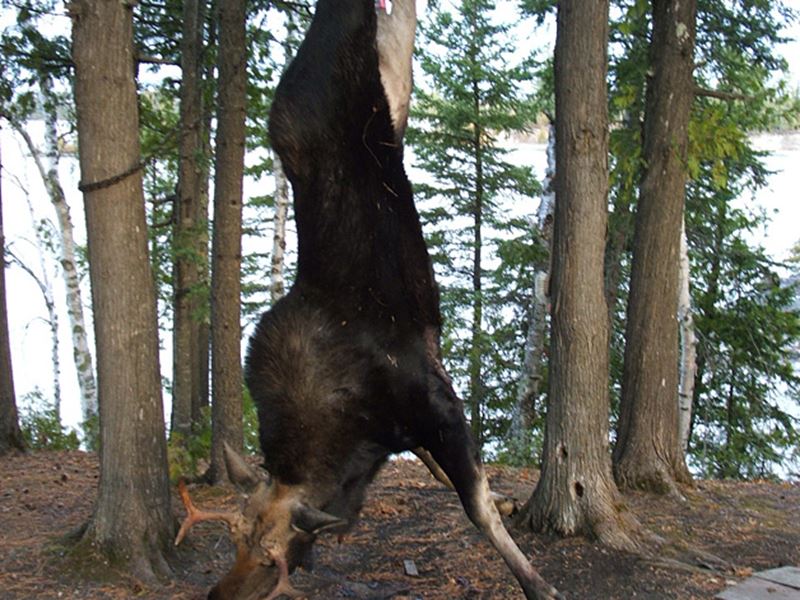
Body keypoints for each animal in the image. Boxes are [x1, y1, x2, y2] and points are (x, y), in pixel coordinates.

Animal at [175, 0, 561, 598]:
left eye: (272, 559)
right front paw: (502, 497)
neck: (354, 440)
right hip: (393, 90)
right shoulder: (411, 421)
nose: (216, 594)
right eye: (233, 539)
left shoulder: (438, 404)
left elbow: (473, 505)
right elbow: (444, 472)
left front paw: (536, 581)